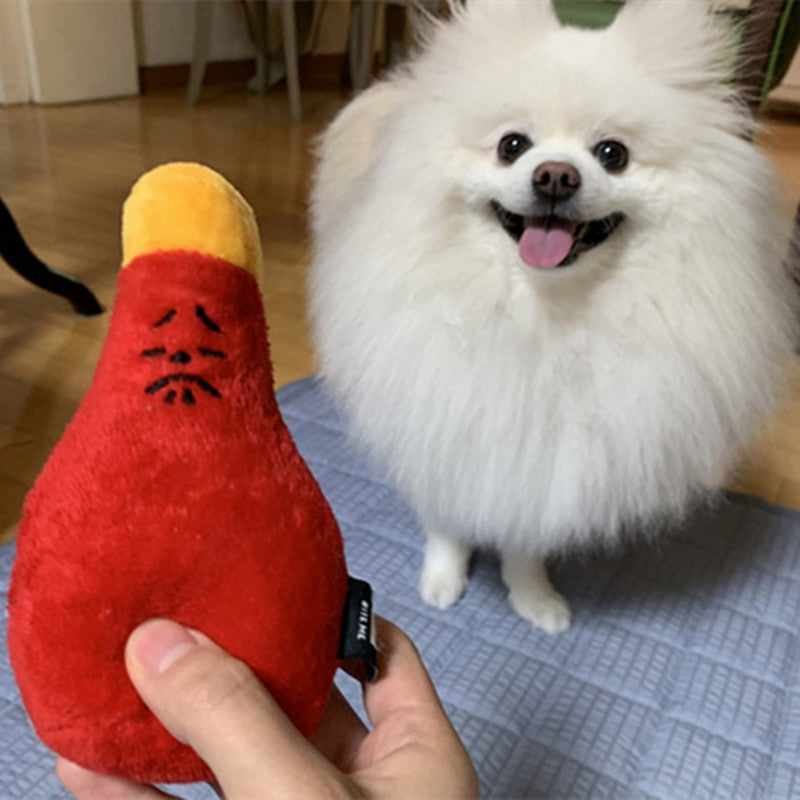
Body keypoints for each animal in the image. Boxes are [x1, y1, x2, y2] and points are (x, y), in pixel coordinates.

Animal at [309, 0, 798, 632]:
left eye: (612, 154)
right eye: (512, 145)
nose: (556, 175)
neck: (543, 315)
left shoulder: (549, 461)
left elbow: (526, 541)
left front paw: (534, 598)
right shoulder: (437, 413)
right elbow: (446, 519)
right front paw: (442, 581)